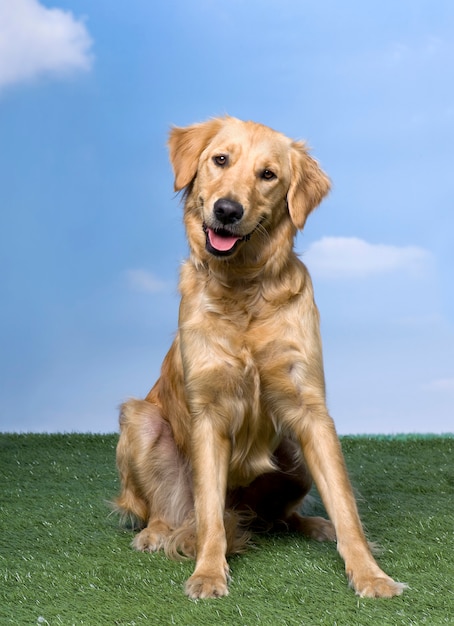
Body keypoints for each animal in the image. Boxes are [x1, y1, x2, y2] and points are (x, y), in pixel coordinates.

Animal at [115, 114, 406, 596]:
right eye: (220, 160)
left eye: (268, 175)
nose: (227, 210)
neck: (243, 286)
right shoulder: (208, 414)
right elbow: (209, 515)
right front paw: (208, 572)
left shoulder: (312, 413)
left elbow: (345, 505)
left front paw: (369, 574)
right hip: (141, 419)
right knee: (167, 509)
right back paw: (155, 533)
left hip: (294, 455)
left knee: (281, 518)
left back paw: (315, 525)